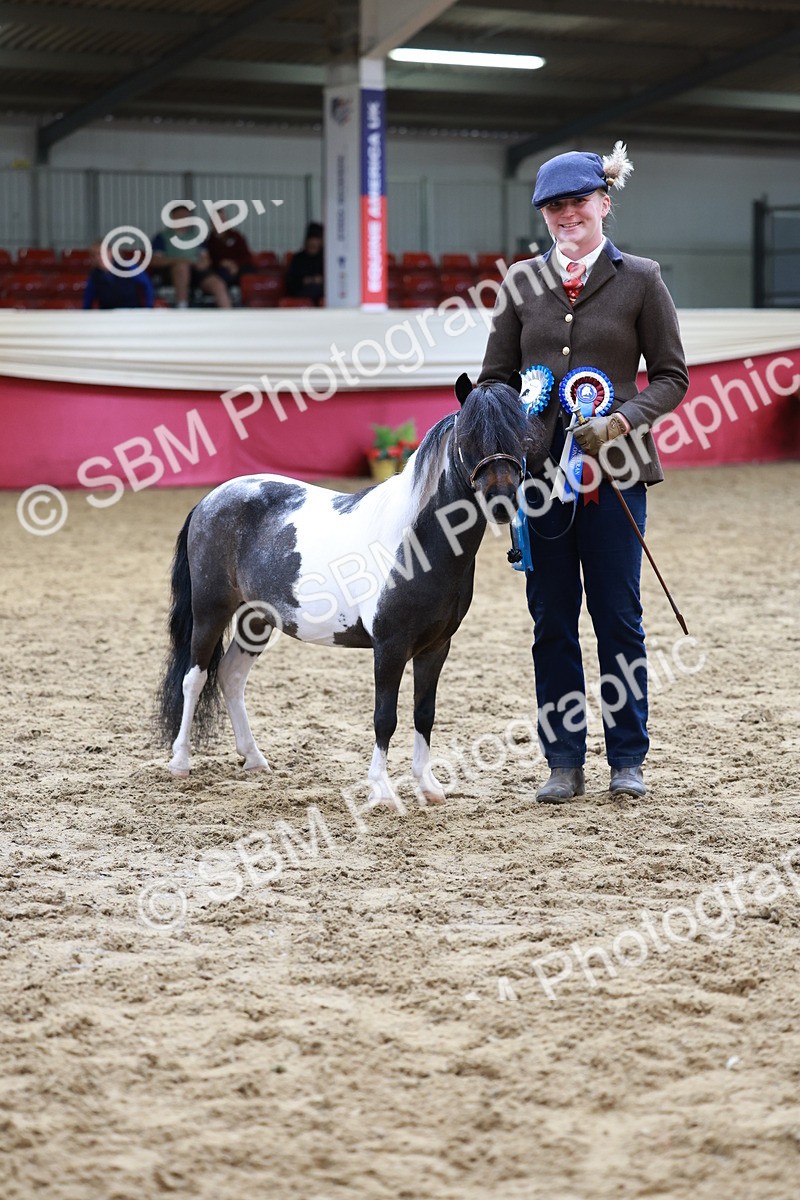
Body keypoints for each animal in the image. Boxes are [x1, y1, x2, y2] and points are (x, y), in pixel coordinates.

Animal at [157, 372, 547, 807]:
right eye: (469, 436)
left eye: (520, 435)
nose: (503, 501)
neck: (417, 542)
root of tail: (211, 499)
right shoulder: (390, 647)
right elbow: (385, 717)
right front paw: (382, 791)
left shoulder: (436, 647)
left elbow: (424, 713)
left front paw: (428, 787)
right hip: (211, 611)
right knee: (194, 677)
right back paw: (179, 762)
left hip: (256, 619)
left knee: (230, 675)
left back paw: (255, 759)